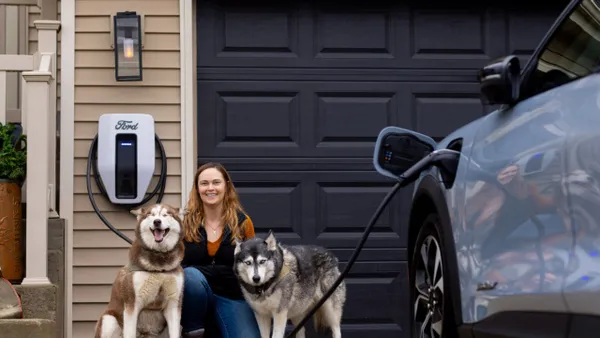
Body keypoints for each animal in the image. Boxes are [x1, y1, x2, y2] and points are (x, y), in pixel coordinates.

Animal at [94, 203, 185, 338]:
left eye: (165, 214)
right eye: (150, 215)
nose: (157, 221)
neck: (159, 266)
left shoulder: (173, 305)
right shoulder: (132, 304)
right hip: (109, 320)